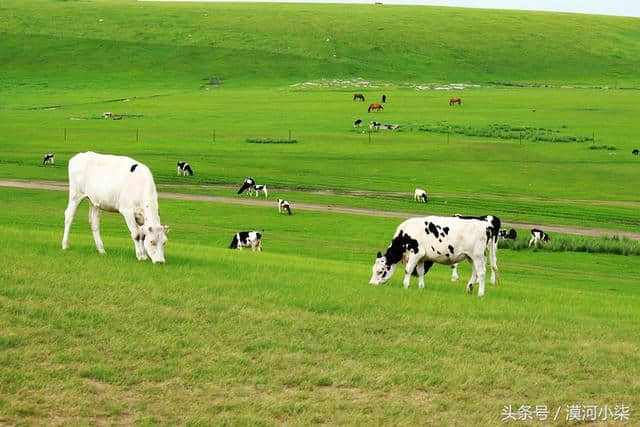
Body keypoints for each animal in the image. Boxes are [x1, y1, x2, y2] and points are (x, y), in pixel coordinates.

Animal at [370, 214, 500, 298]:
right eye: (373, 270)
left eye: (381, 271)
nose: (371, 284)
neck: (405, 235)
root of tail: (485, 225)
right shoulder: (422, 257)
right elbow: (420, 272)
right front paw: (421, 287)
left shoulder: (416, 253)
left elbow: (408, 270)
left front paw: (405, 286)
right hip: (471, 257)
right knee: (475, 272)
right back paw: (469, 289)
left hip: (477, 255)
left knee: (481, 273)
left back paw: (480, 294)